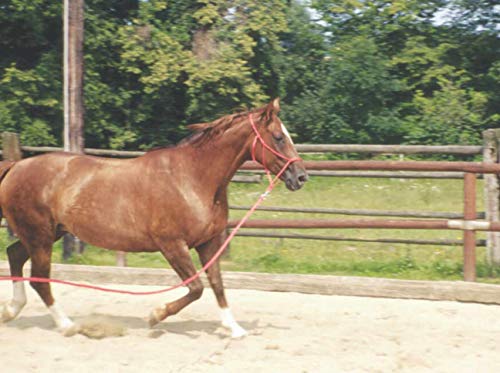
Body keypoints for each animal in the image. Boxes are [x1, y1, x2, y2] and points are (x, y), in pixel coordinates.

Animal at [0, 99, 306, 338]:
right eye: (279, 137)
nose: (301, 177)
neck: (192, 177)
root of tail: (16, 166)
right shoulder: (172, 244)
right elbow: (196, 288)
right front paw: (155, 315)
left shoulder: (209, 242)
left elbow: (217, 284)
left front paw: (234, 328)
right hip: (39, 235)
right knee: (40, 278)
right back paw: (67, 325)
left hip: (47, 233)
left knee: (15, 255)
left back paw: (11, 311)